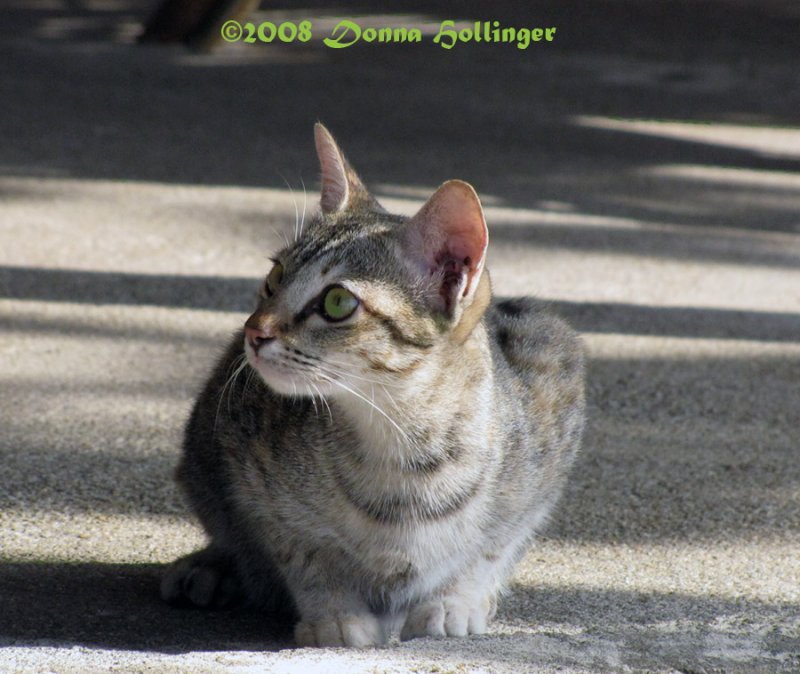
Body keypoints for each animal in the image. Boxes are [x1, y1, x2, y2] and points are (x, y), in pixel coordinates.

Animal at [162, 122, 588, 644]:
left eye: (337, 302)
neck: (402, 442)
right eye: (275, 275)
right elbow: (303, 551)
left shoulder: (553, 384)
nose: (253, 331)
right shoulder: (252, 471)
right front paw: (334, 614)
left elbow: (492, 547)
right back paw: (211, 568)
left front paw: (455, 601)